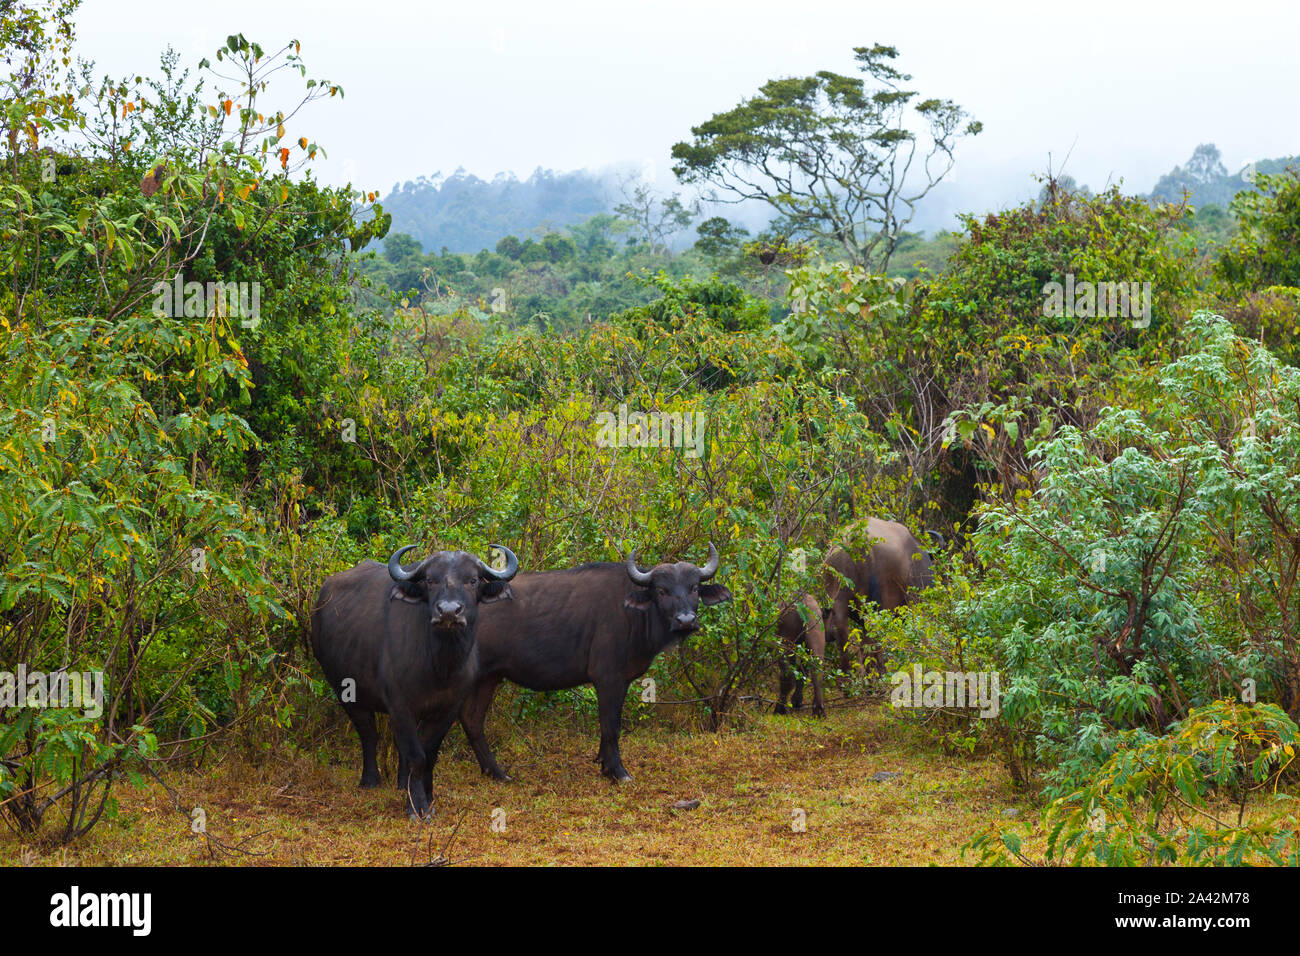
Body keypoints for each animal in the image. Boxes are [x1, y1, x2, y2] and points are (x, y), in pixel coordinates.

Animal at [310, 541, 517, 816]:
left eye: (472, 580)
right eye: (430, 580)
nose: (448, 612)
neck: (439, 666)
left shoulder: (448, 708)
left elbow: (428, 754)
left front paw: (426, 797)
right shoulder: (399, 705)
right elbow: (416, 756)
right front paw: (416, 807)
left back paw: (400, 783)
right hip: (344, 689)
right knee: (368, 733)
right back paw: (370, 779)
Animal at [460, 546, 733, 785]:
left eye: (694, 588)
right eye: (661, 591)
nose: (685, 620)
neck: (632, 614)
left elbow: (608, 725)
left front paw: (603, 763)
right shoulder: (608, 678)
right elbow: (611, 725)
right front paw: (618, 772)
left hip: (488, 678)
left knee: (472, 720)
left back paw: (496, 772)